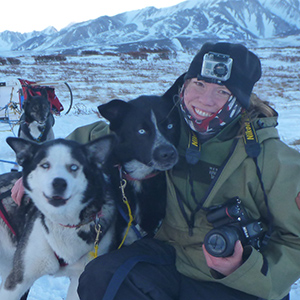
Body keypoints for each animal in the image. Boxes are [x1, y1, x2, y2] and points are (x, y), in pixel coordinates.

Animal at [0, 136, 116, 300]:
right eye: (45, 165)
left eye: (73, 167)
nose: (59, 183)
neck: (65, 224)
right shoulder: (19, 279)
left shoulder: (79, 279)